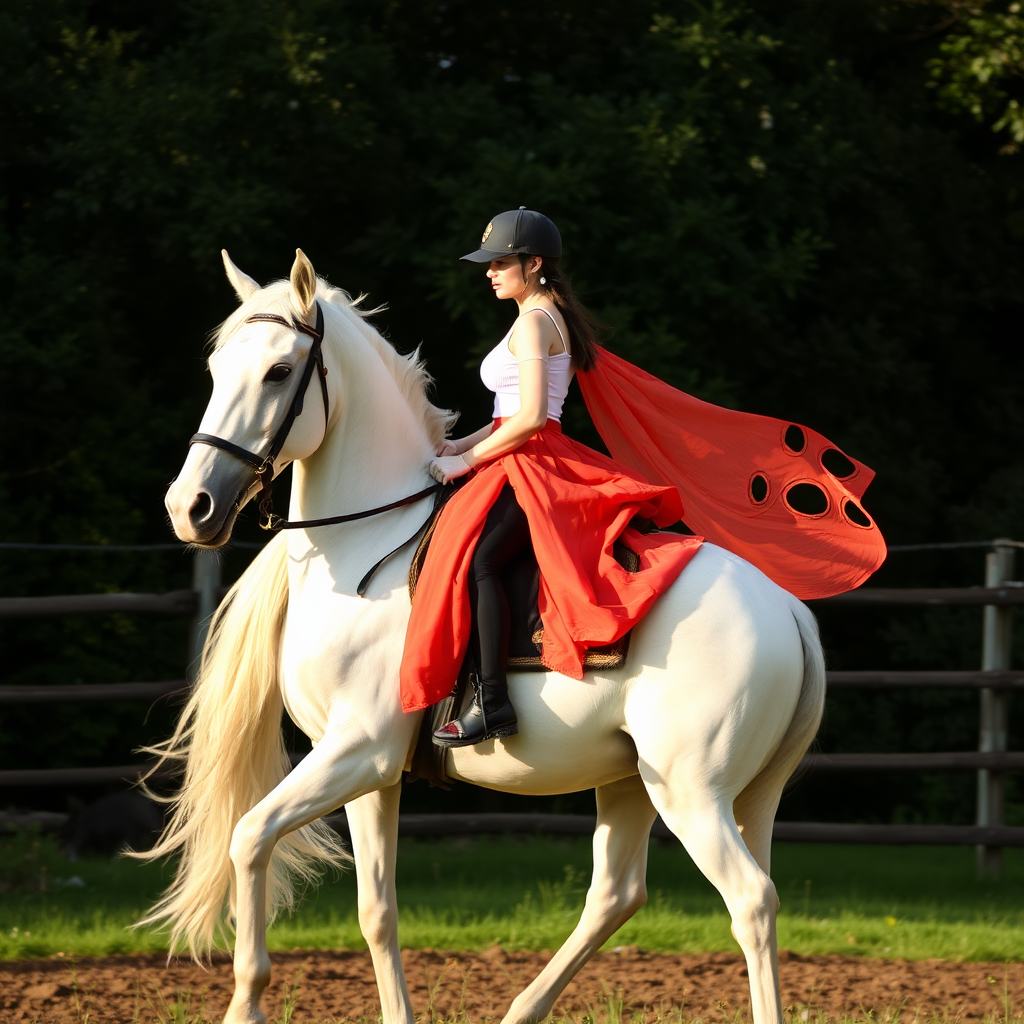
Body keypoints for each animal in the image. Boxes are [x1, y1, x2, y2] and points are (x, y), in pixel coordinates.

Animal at [149, 247, 823, 1024]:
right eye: (216, 368)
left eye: (279, 372)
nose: (190, 506)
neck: (366, 544)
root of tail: (788, 609)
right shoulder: (367, 768)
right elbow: (376, 910)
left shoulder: (357, 750)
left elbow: (249, 836)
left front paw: (246, 1002)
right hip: (639, 779)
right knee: (618, 894)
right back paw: (522, 1010)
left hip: (693, 790)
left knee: (750, 902)